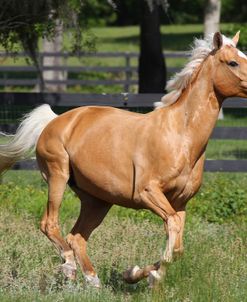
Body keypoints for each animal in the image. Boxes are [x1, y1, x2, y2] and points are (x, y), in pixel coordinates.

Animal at [0, 31, 247, 288]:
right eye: (233, 62)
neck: (181, 135)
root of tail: (54, 120)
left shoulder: (180, 203)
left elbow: (177, 245)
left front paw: (136, 274)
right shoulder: (148, 193)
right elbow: (173, 231)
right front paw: (150, 276)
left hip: (97, 200)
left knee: (77, 237)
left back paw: (93, 281)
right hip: (57, 176)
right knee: (50, 224)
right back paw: (68, 266)